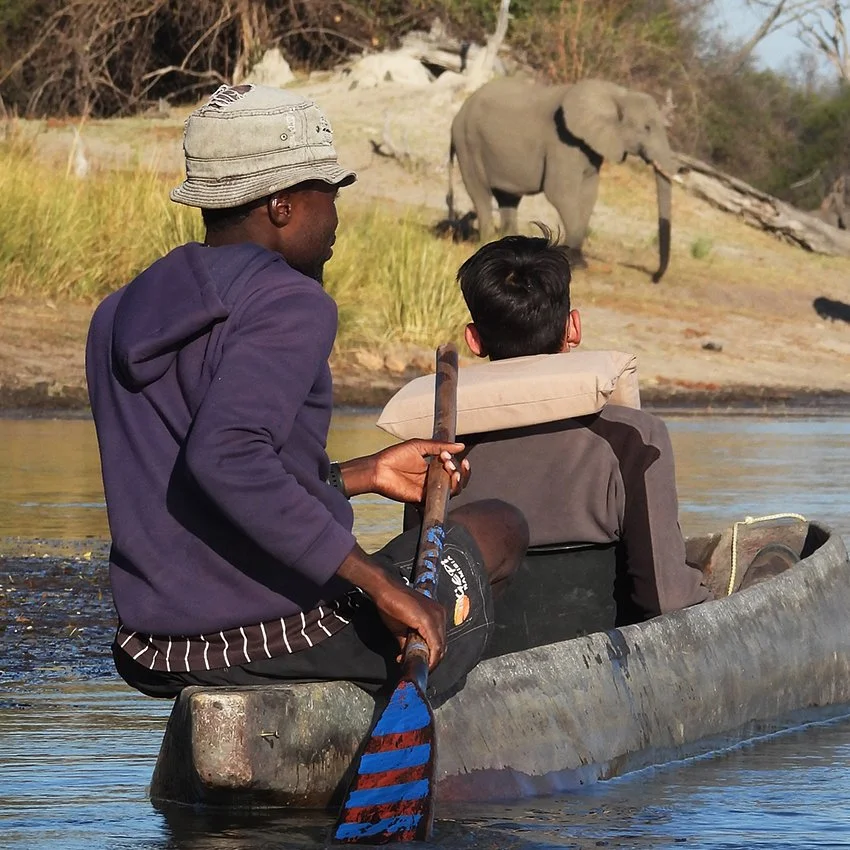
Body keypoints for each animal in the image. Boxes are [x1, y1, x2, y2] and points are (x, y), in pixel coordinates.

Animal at [447, 77, 680, 282]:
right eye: (647, 128)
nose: (655, 278)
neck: (618, 94)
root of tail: (460, 111)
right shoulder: (562, 142)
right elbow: (561, 193)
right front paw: (575, 263)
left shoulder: (589, 148)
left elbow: (589, 194)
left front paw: (578, 261)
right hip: (467, 142)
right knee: (480, 193)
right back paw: (486, 242)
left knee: (508, 199)